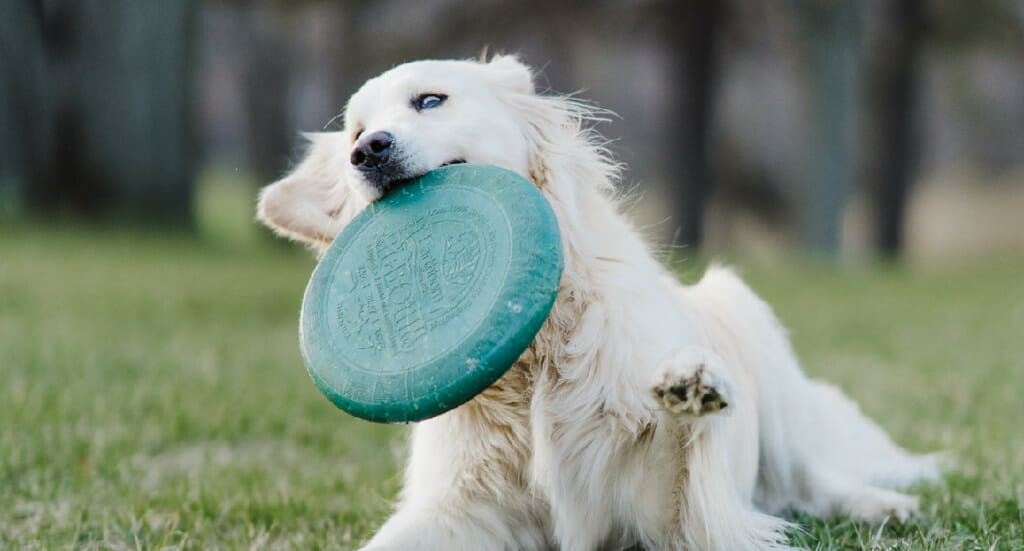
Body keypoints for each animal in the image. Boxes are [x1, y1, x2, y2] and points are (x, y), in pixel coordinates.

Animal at [253, 56, 937, 548]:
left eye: (430, 100)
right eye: (355, 131)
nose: (366, 151)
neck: (533, 357)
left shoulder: (653, 512)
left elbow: (679, 450)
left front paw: (689, 386)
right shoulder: (460, 508)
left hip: (753, 331)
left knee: (809, 480)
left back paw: (882, 505)